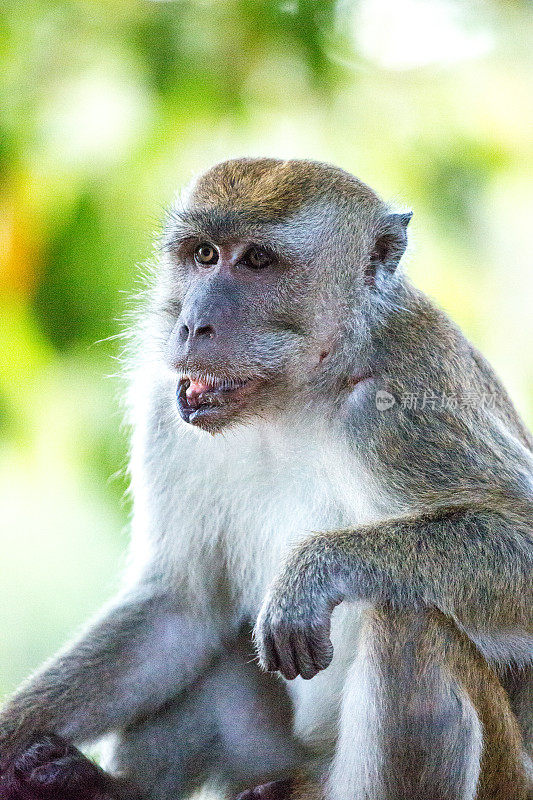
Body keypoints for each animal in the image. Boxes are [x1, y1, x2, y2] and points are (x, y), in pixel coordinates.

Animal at [0, 156, 528, 800]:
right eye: (204, 255)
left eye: (257, 261)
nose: (193, 324)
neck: (295, 394)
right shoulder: (166, 412)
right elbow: (183, 604)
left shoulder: (402, 407)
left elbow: (519, 541)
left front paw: (313, 571)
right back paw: (107, 788)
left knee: (407, 625)